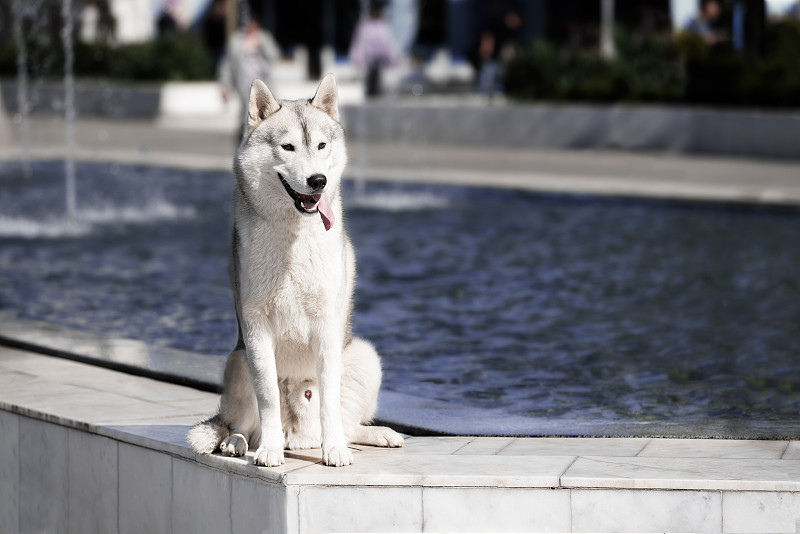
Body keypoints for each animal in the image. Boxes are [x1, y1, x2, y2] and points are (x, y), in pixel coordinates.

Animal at [186, 75, 400, 468]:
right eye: (287, 147)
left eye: (321, 145)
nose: (318, 181)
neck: (293, 237)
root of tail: (299, 436)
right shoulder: (256, 329)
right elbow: (268, 399)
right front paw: (268, 451)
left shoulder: (327, 326)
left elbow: (329, 400)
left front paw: (335, 451)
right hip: (239, 361)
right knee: (240, 424)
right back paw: (238, 443)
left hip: (363, 355)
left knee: (348, 423)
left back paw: (372, 435)